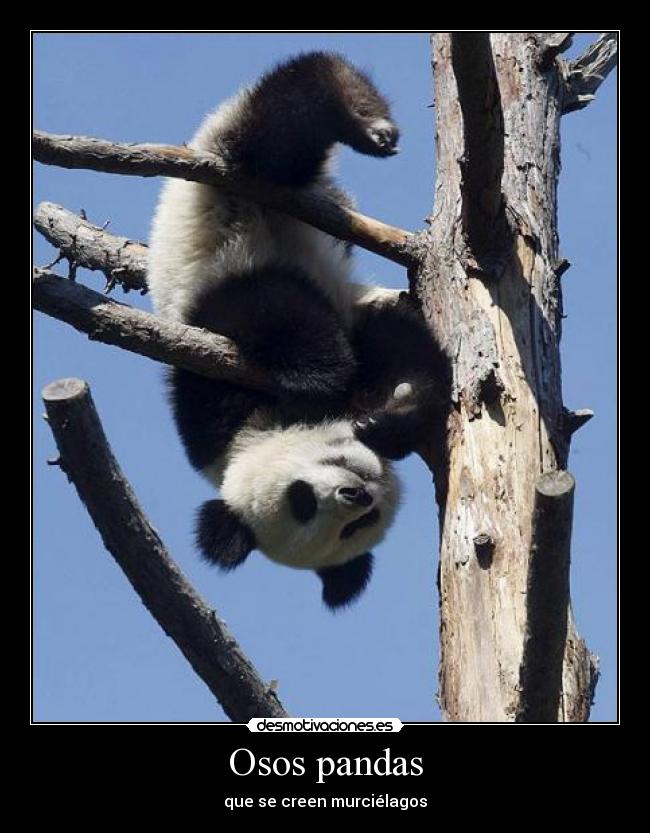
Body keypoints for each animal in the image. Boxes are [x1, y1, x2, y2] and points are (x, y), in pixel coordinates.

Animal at [147, 52, 448, 609]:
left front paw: (371, 403)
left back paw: (364, 117)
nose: (355, 493)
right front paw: (382, 410)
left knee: (283, 119)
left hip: (226, 179)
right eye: (310, 508)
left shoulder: (222, 344)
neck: (251, 432)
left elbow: (289, 317)